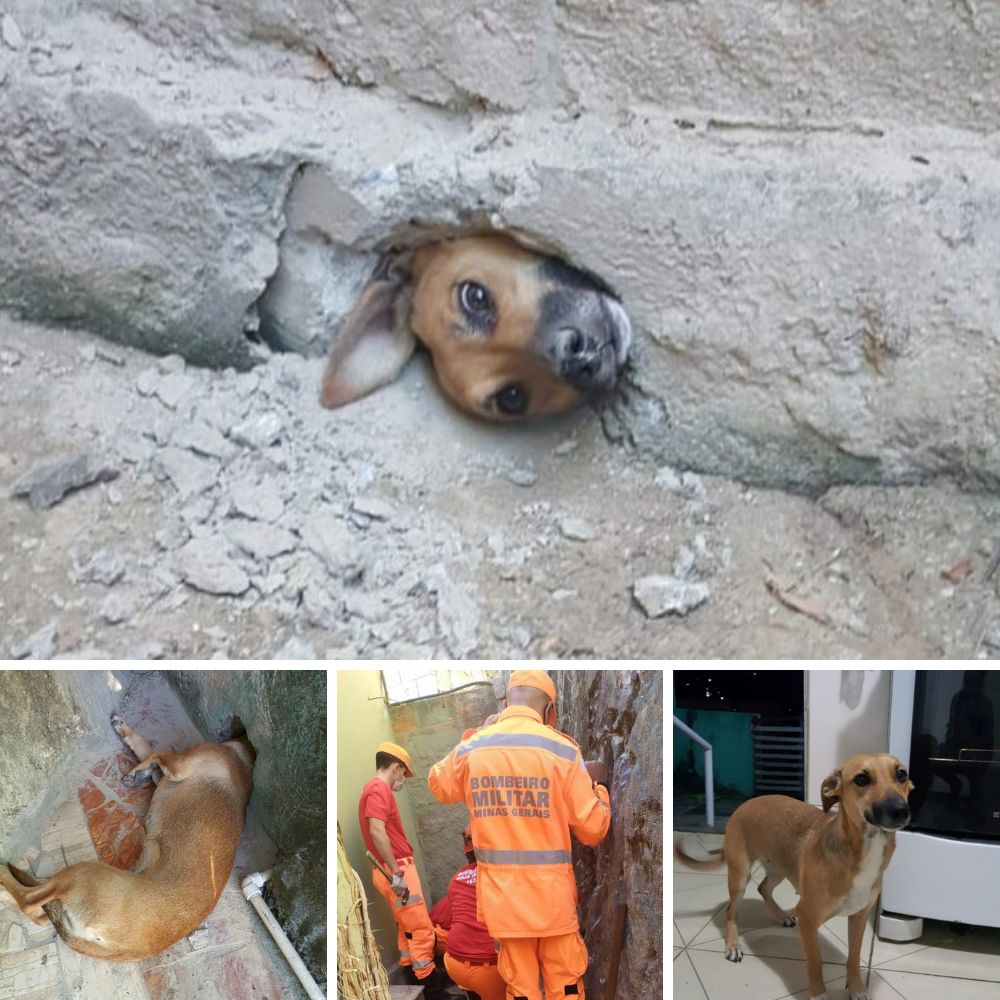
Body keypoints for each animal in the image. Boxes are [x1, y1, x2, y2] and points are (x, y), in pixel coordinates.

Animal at [0, 712, 256, 960]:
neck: (243, 757)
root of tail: (118, 948)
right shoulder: (167, 775)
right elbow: (150, 751)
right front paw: (129, 742)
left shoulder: (179, 764)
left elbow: (158, 752)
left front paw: (137, 768)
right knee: (38, 912)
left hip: (83, 873)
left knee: (29, 902)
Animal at [672, 752, 916, 1000]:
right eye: (862, 779)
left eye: (901, 774)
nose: (901, 810)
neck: (862, 850)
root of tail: (746, 803)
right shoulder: (808, 920)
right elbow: (815, 962)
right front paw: (818, 994)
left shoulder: (858, 916)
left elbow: (854, 957)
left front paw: (856, 987)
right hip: (740, 875)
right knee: (731, 909)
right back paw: (732, 946)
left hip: (779, 869)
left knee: (763, 888)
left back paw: (782, 916)